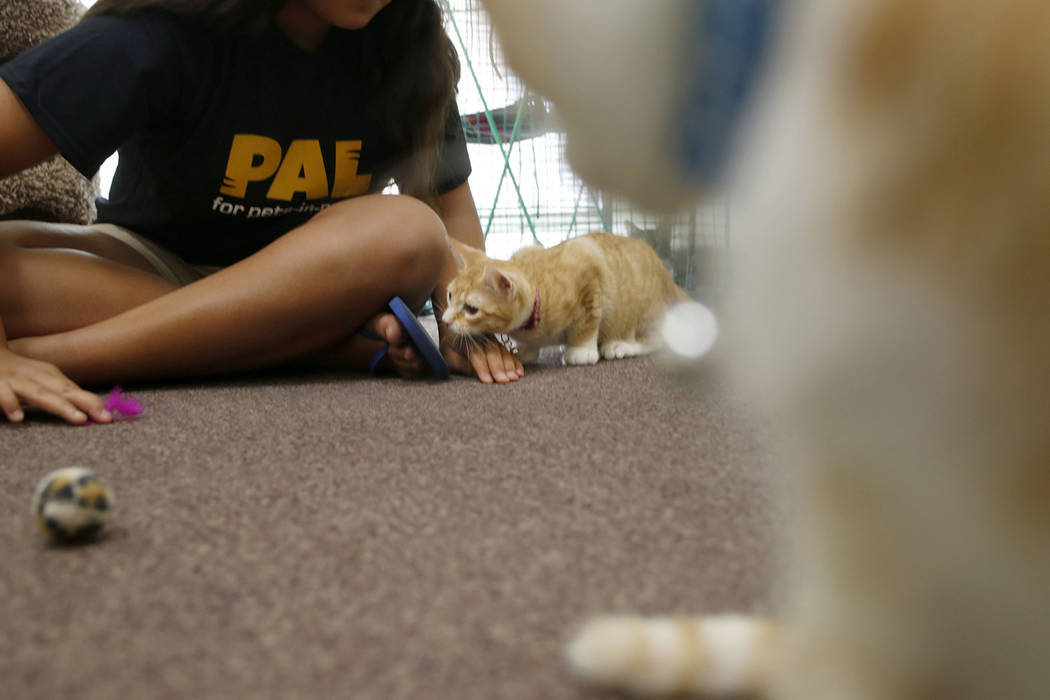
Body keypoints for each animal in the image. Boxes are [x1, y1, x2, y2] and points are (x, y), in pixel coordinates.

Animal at [440, 235, 688, 367]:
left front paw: (581, 350)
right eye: (450, 295)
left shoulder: (588, 267)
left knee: (659, 340)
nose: (445, 320)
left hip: (646, 312)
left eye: (471, 309)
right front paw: (526, 351)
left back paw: (621, 345)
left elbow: (587, 322)